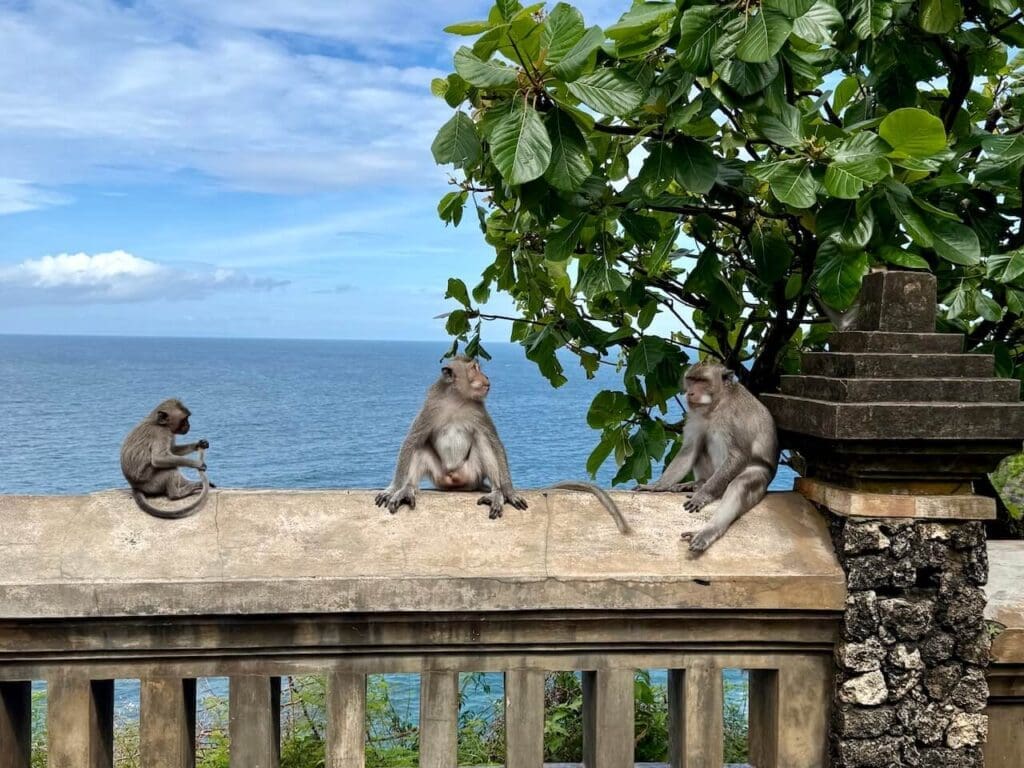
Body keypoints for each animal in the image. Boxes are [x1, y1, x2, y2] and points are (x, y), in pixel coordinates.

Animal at [375, 356, 629, 532]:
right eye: (474, 368)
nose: (486, 378)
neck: (458, 400)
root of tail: (455, 482)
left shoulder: (478, 411)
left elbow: (494, 442)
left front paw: (508, 490)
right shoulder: (432, 406)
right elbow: (412, 440)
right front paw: (392, 488)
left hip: (472, 475)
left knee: (481, 442)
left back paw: (497, 493)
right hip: (441, 476)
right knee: (421, 447)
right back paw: (407, 490)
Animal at [635, 360, 778, 553]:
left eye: (702, 381)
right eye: (691, 380)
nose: (690, 393)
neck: (717, 405)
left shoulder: (736, 416)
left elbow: (738, 455)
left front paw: (702, 496)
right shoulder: (696, 414)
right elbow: (690, 448)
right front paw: (658, 486)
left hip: (759, 477)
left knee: (738, 485)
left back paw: (707, 530)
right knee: (702, 443)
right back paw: (697, 483)